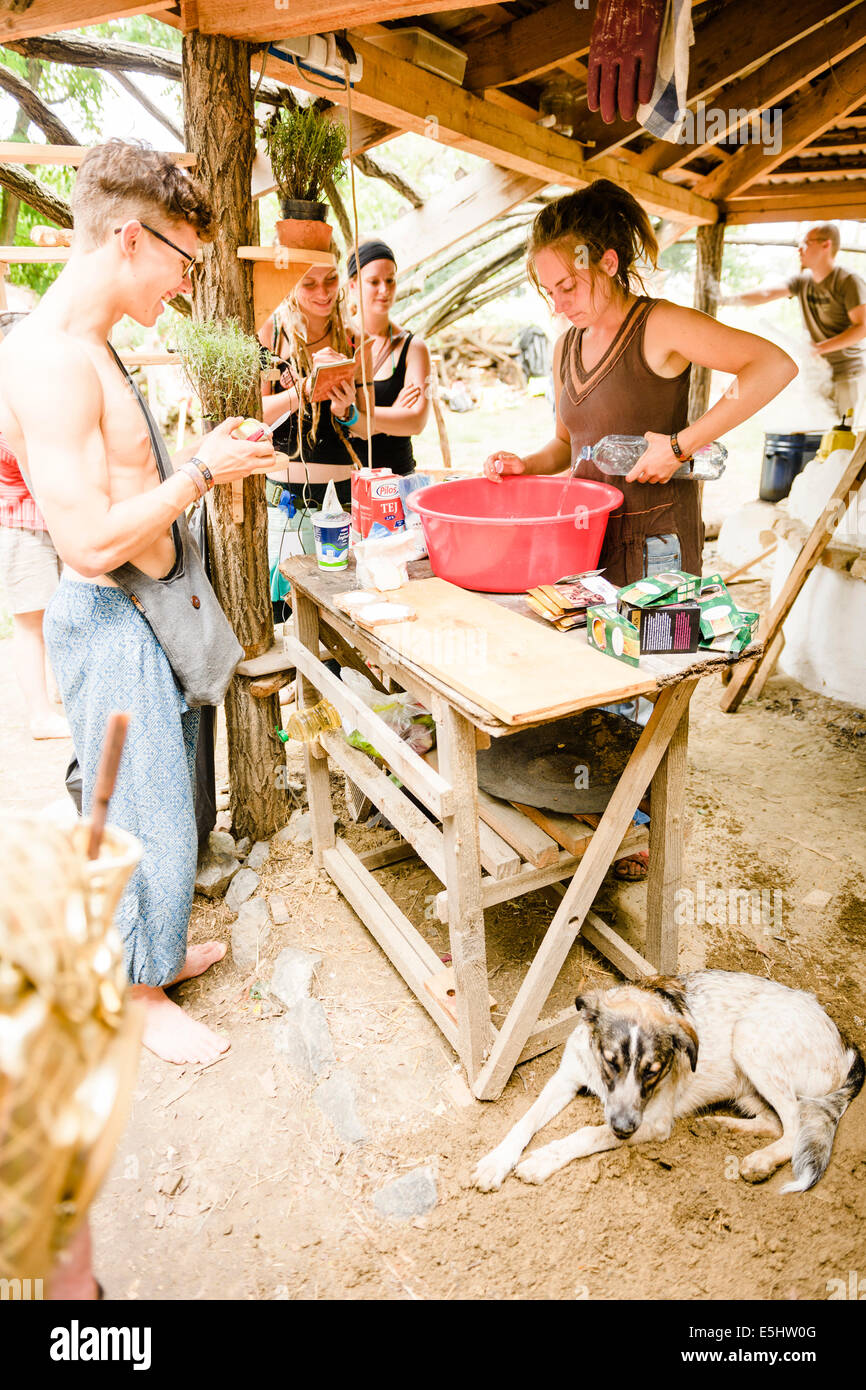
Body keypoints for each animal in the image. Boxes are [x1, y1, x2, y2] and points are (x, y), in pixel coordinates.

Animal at [478, 967, 861, 1195]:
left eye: (653, 1070)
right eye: (610, 1061)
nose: (624, 1128)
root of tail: (847, 1045)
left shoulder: (654, 1122)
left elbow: (588, 1133)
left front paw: (543, 1160)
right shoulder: (566, 1078)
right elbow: (524, 1121)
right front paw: (496, 1161)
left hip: (750, 1040)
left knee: (794, 1124)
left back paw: (760, 1161)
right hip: (746, 1083)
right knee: (773, 1122)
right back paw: (719, 1126)